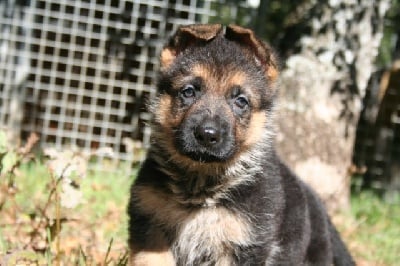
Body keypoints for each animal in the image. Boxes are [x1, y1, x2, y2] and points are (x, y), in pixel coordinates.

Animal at [128, 23, 354, 264]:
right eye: (188, 92)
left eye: (240, 101)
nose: (207, 134)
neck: (200, 185)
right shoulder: (151, 228)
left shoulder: (242, 244)